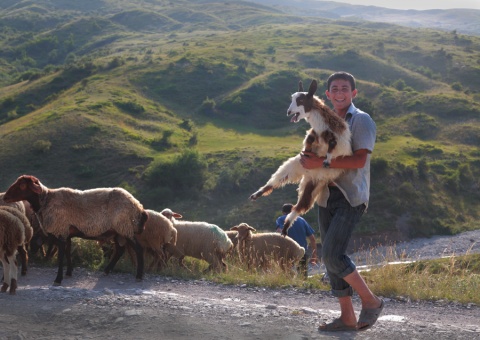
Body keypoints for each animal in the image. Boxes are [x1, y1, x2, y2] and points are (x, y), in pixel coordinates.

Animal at [2, 174, 147, 286]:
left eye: (22, 186)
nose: (5, 197)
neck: (46, 201)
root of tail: (138, 206)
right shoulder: (67, 233)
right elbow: (67, 253)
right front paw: (68, 273)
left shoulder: (60, 231)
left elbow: (61, 256)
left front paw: (58, 279)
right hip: (118, 231)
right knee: (120, 250)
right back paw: (107, 270)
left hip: (126, 227)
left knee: (139, 249)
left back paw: (139, 276)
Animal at [251, 79, 352, 234]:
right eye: (292, 98)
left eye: (301, 100)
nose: (288, 112)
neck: (324, 130)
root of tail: (307, 175)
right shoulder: (313, 135)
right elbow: (309, 140)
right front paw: (309, 150)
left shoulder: (341, 145)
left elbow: (332, 146)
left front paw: (327, 160)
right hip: (294, 167)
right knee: (276, 180)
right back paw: (257, 195)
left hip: (315, 184)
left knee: (300, 206)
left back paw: (285, 228)